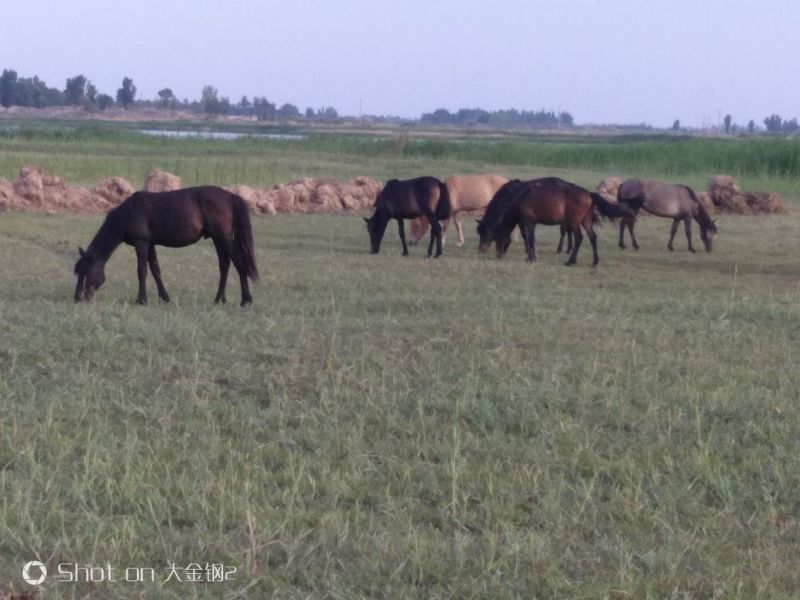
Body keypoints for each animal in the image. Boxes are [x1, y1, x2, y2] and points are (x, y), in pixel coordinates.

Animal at [74, 186, 259, 306]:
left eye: (86, 272)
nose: (77, 298)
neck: (128, 213)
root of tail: (230, 196)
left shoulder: (141, 244)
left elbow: (142, 271)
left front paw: (141, 300)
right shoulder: (150, 244)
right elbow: (156, 270)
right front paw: (165, 298)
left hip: (223, 238)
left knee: (239, 263)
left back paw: (245, 300)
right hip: (217, 239)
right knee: (224, 266)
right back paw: (219, 299)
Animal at [478, 177, 634, 266]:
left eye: (496, 237)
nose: (498, 254)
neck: (519, 197)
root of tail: (589, 194)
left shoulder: (528, 222)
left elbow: (530, 239)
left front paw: (531, 258)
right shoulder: (530, 223)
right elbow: (530, 239)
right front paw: (531, 256)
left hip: (574, 222)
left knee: (579, 238)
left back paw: (570, 261)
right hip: (586, 221)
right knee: (592, 238)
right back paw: (594, 262)